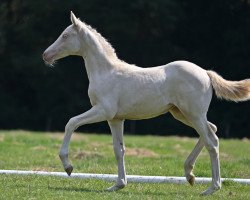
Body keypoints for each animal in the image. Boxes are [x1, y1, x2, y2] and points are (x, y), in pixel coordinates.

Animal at [43, 11, 250, 195]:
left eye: (65, 35)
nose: (46, 55)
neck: (106, 72)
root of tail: (206, 73)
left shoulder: (102, 111)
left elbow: (71, 122)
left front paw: (68, 166)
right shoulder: (115, 119)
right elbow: (119, 150)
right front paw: (118, 185)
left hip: (193, 114)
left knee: (211, 142)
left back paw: (211, 188)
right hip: (182, 113)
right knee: (212, 130)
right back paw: (189, 174)